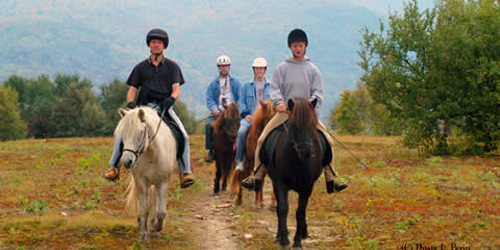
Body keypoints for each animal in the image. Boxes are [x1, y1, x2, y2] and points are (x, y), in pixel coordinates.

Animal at [114, 107, 177, 240]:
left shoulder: (163, 182)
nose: (126, 161)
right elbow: (144, 209)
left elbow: (161, 212)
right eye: (123, 134)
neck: (151, 154)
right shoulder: (141, 183)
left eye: (140, 133)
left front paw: (157, 227)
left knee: (156, 199)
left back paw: (154, 225)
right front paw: (144, 234)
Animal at [268, 98, 322, 250]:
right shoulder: (280, 182)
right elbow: (283, 208)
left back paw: (303, 233)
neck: (297, 160)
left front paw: (297, 241)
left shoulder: (307, 186)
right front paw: (284, 238)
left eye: (313, 123)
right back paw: (279, 235)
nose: (306, 152)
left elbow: (300, 211)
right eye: (293, 125)